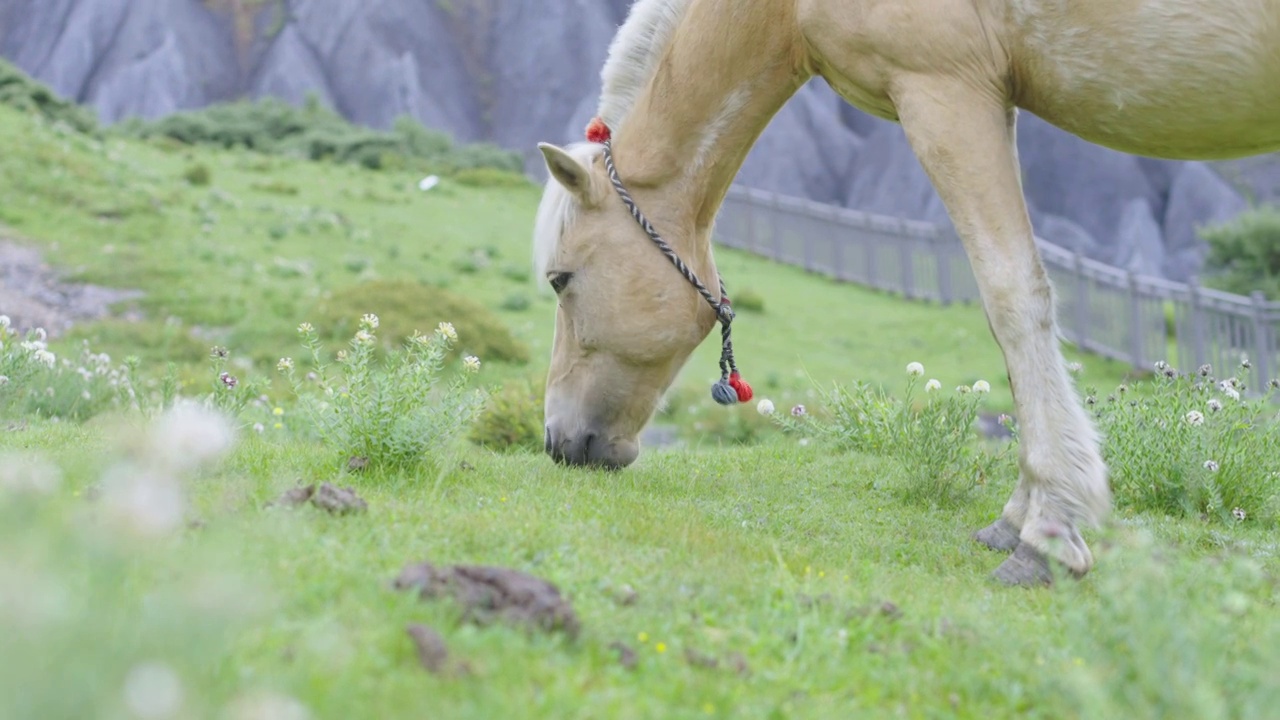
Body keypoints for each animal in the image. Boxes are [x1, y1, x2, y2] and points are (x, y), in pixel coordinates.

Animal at [532, 0, 1280, 584]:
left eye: (560, 279)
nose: (559, 442)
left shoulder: (943, 89)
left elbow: (1013, 296)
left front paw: (1049, 533)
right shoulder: (991, 98)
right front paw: (1017, 516)